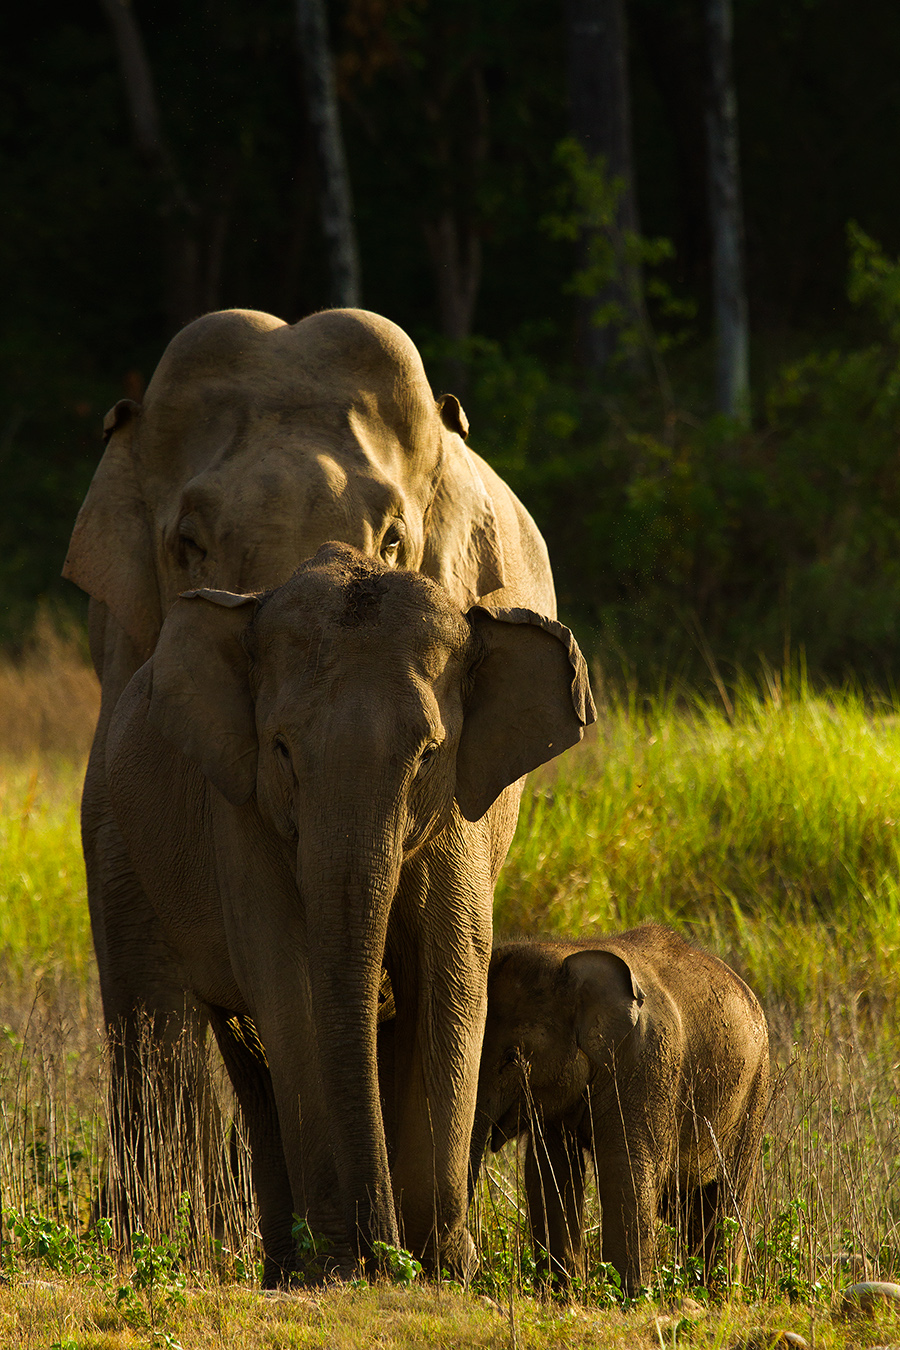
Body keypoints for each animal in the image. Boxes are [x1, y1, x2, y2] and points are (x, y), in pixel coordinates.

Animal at [469, 923, 771, 1290]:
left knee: (728, 1195)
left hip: (755, 1092)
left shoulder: (645, 1062)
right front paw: (562, 1290)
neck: (568, 954)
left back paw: (720, 1291)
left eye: (513, 1058)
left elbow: (625, 1165)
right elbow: (550, 1169)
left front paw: (629, 1294)